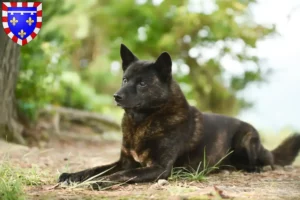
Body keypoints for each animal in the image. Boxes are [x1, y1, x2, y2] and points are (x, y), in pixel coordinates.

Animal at [58, 43, 300, 188]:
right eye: (125, 79)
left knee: (265, 162)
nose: (116, 96)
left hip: (245, 139)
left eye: (142, 83)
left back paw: (255, 167)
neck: (142, 122)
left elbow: (118, 175)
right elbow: (94, 169)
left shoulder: (158, 168)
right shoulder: (124, 162)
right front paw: (72, 175)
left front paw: (101, 181)